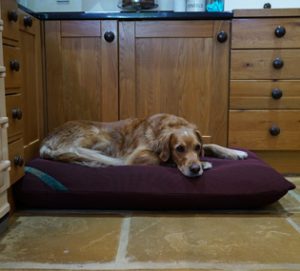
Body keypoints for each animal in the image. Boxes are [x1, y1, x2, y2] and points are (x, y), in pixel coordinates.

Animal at [39, 113, 246, 178]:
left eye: (196, 147)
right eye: (179, 149)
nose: (195, 169)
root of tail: (46, 140)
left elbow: (210, 144)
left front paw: (235, 152)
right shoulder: (136, 156)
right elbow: (162, 159)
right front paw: (204, 163)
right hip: (98, 136)